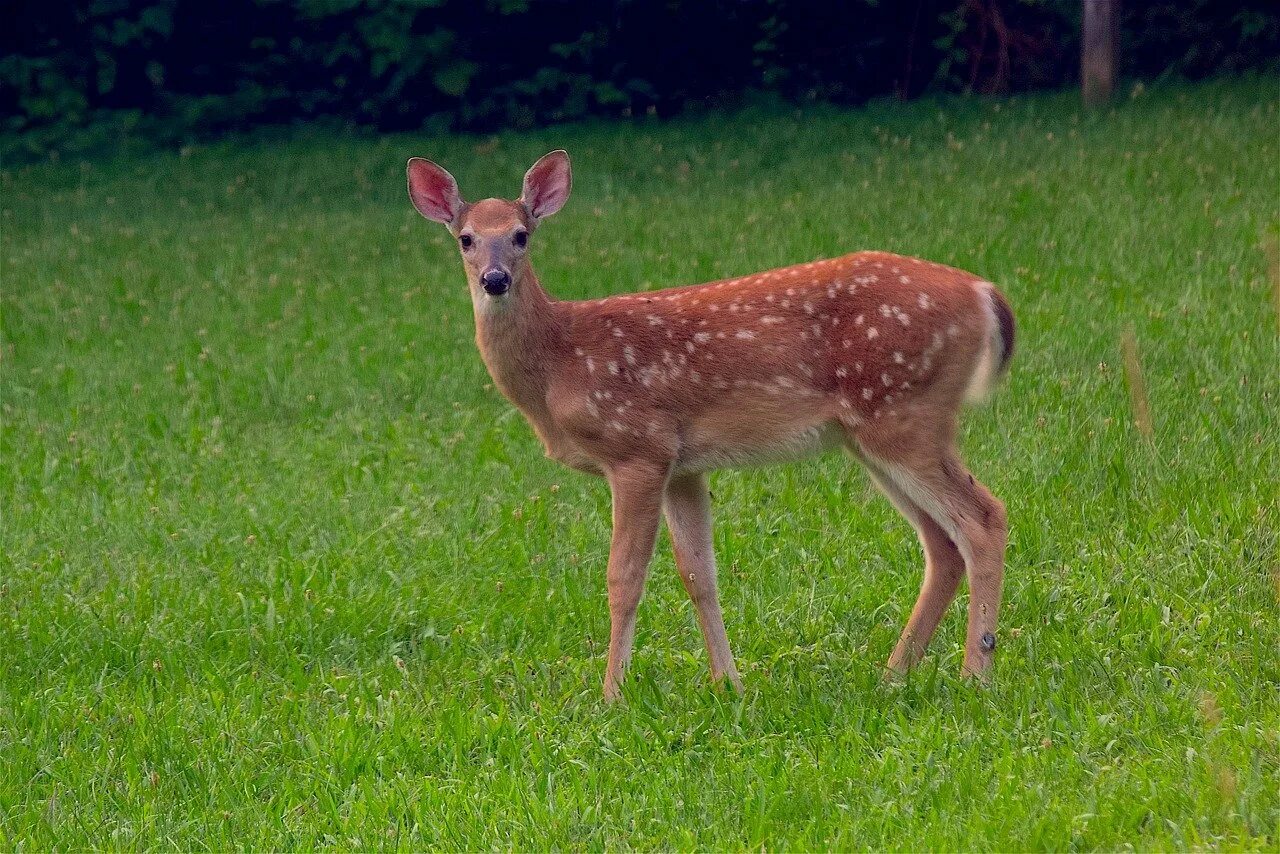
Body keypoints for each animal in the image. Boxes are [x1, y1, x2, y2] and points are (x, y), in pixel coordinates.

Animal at [404, 151, 1013, 701]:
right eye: (465, 238)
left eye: (521, 234)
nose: (495, 279)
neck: (560, 364)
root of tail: (983, 294)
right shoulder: (683, 467)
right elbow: (699, 576)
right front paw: (729, 684)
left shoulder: (638, 449)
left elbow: (624, 579)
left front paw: (611, 695)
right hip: (874, 435)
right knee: (943, 543)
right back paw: (893, 677)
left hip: (905, 416)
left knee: (984, 518)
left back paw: (975, 676)